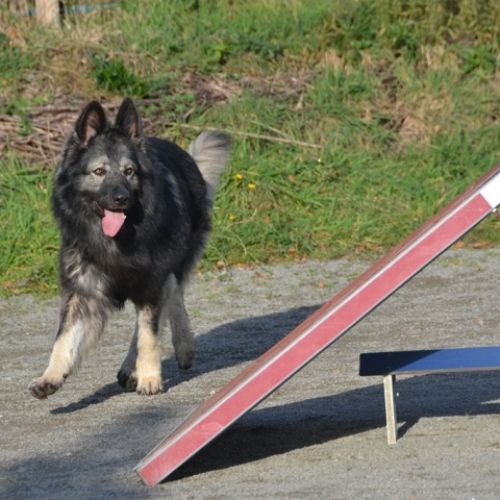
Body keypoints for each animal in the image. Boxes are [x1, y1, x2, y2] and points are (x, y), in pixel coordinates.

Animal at [29, 98, 230, 398]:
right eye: (99, 172)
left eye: (129, 172)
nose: (121, 198)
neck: (116, 241)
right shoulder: (84, 290)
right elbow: (64, 337)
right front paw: (50, 376)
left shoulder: (151, 284)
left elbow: (148, 335)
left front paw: (149, 377)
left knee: (171, 296)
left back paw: (174, 350)